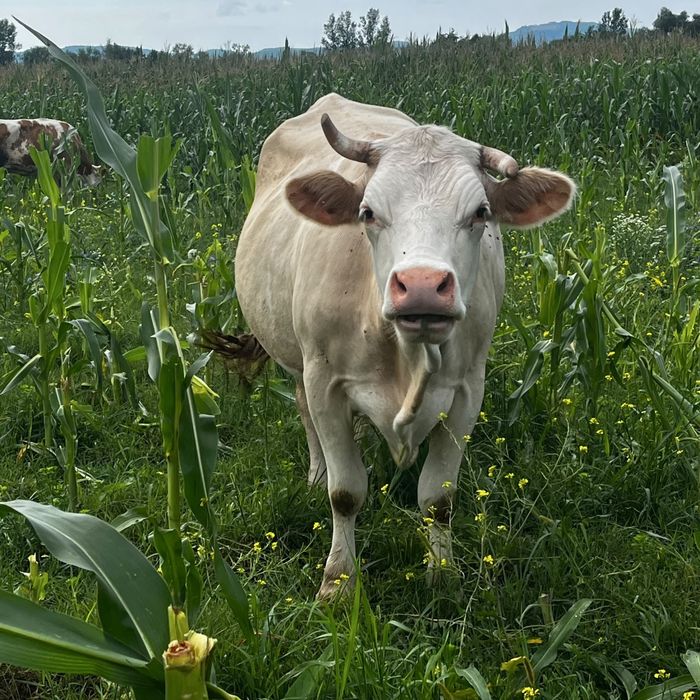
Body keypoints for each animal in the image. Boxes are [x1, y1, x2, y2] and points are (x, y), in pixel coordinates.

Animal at [231, 93, 575, 598]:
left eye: (480, 213)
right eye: (368, 213)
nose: (422, 286)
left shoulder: (468, 389)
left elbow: (439, 497)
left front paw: (443, 575)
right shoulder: (324, 381)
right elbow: (345, 492)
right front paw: (338, 583)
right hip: (295, 360)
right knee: (304, 413)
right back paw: (317, 472)